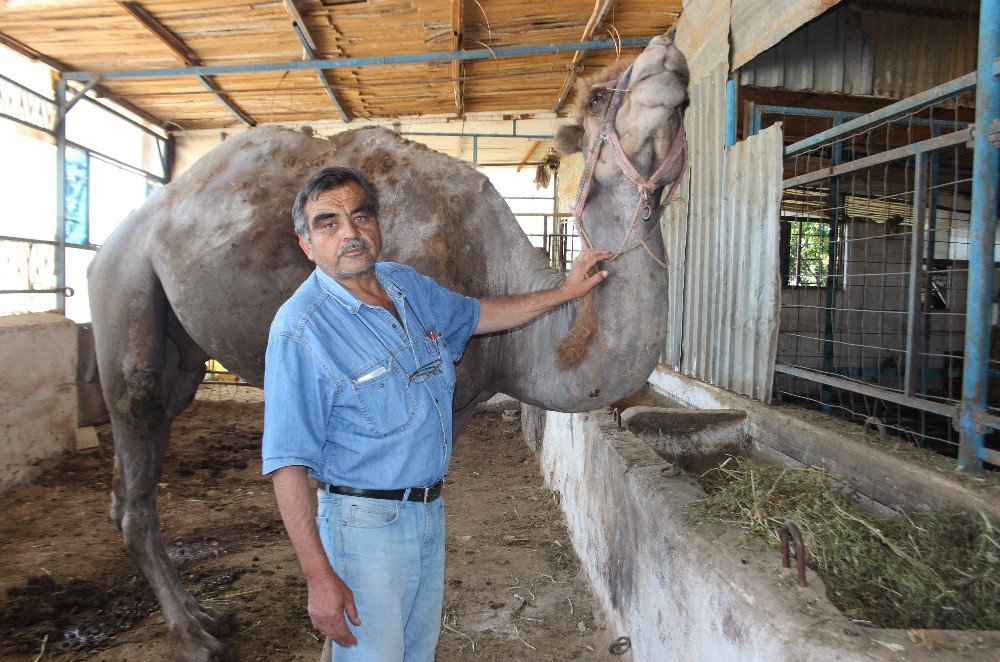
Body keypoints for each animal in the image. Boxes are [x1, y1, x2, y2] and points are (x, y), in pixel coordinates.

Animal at [88, 33, 688, 660]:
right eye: (597, 98)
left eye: (687, 102)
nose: (667, 54)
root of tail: (120, 236)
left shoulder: (459, 401)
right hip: (127, 283)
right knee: (136, 428)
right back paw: (194, 635)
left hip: (176, 347)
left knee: (142, 459)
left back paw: (206, 614)